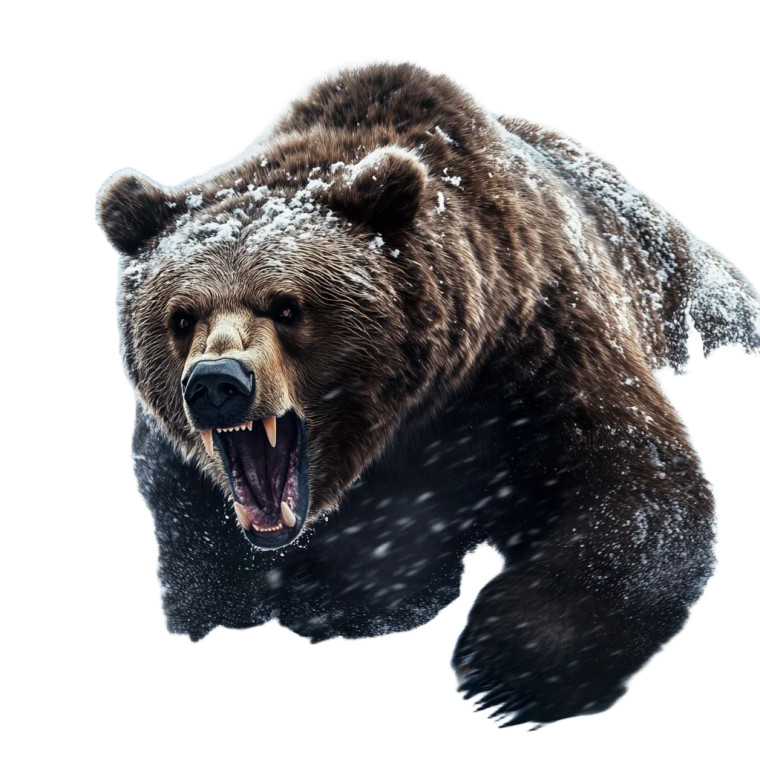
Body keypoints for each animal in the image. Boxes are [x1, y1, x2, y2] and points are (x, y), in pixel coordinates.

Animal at [97, 63, 760, 726]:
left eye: (286, 307)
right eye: (182, 316)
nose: (217, 382)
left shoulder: (534, 354)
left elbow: (639, 486)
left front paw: (504, 672)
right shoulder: (184, 481)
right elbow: (207, 574)